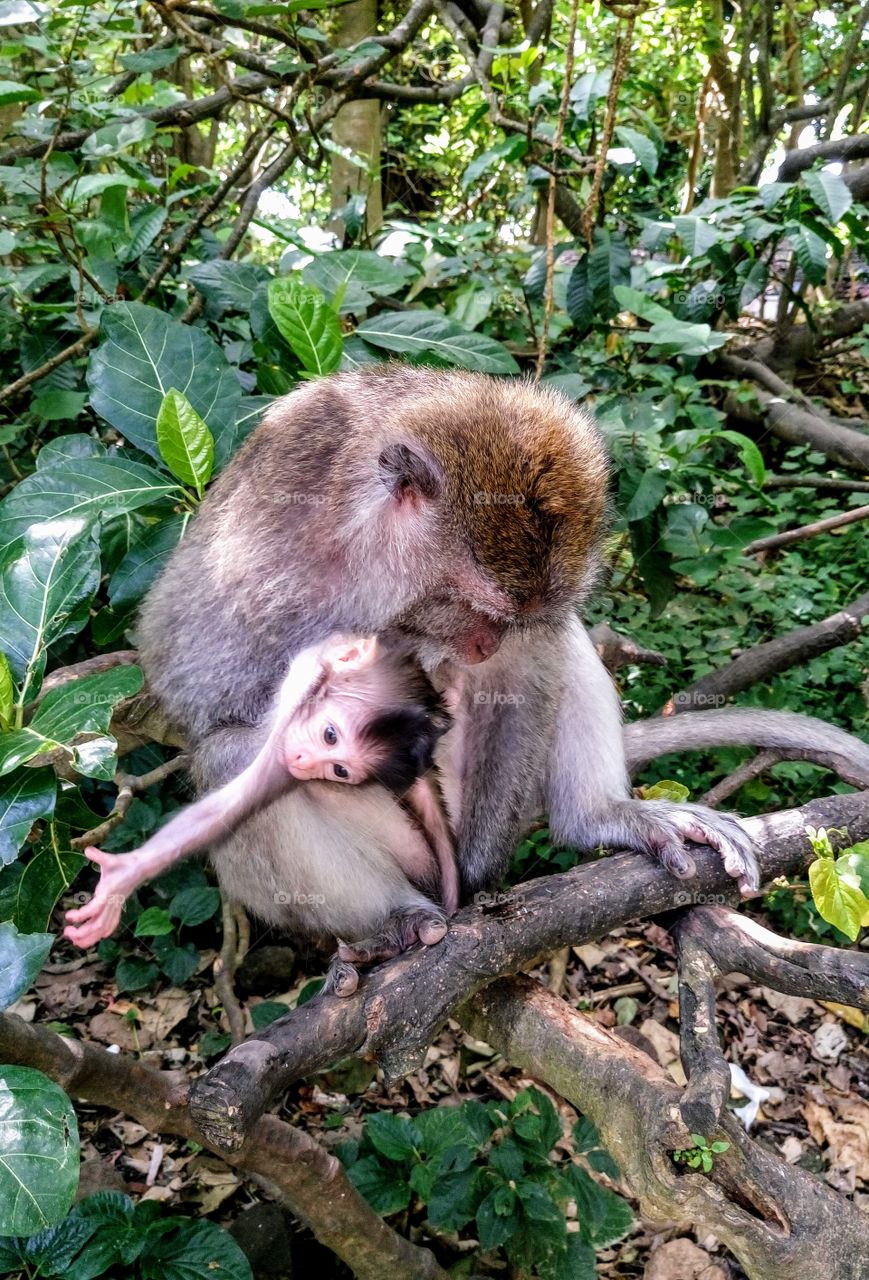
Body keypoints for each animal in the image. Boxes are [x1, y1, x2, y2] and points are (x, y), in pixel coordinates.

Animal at [139, 366, 757, 957]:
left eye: (517, 621)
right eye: (471, 607)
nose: (485, 646)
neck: (355, 547)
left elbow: (525, 672)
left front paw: (483, 869)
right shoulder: (264, 579)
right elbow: (205, 696)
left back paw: (595, 815)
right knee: (234, 756)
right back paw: (396, 916)